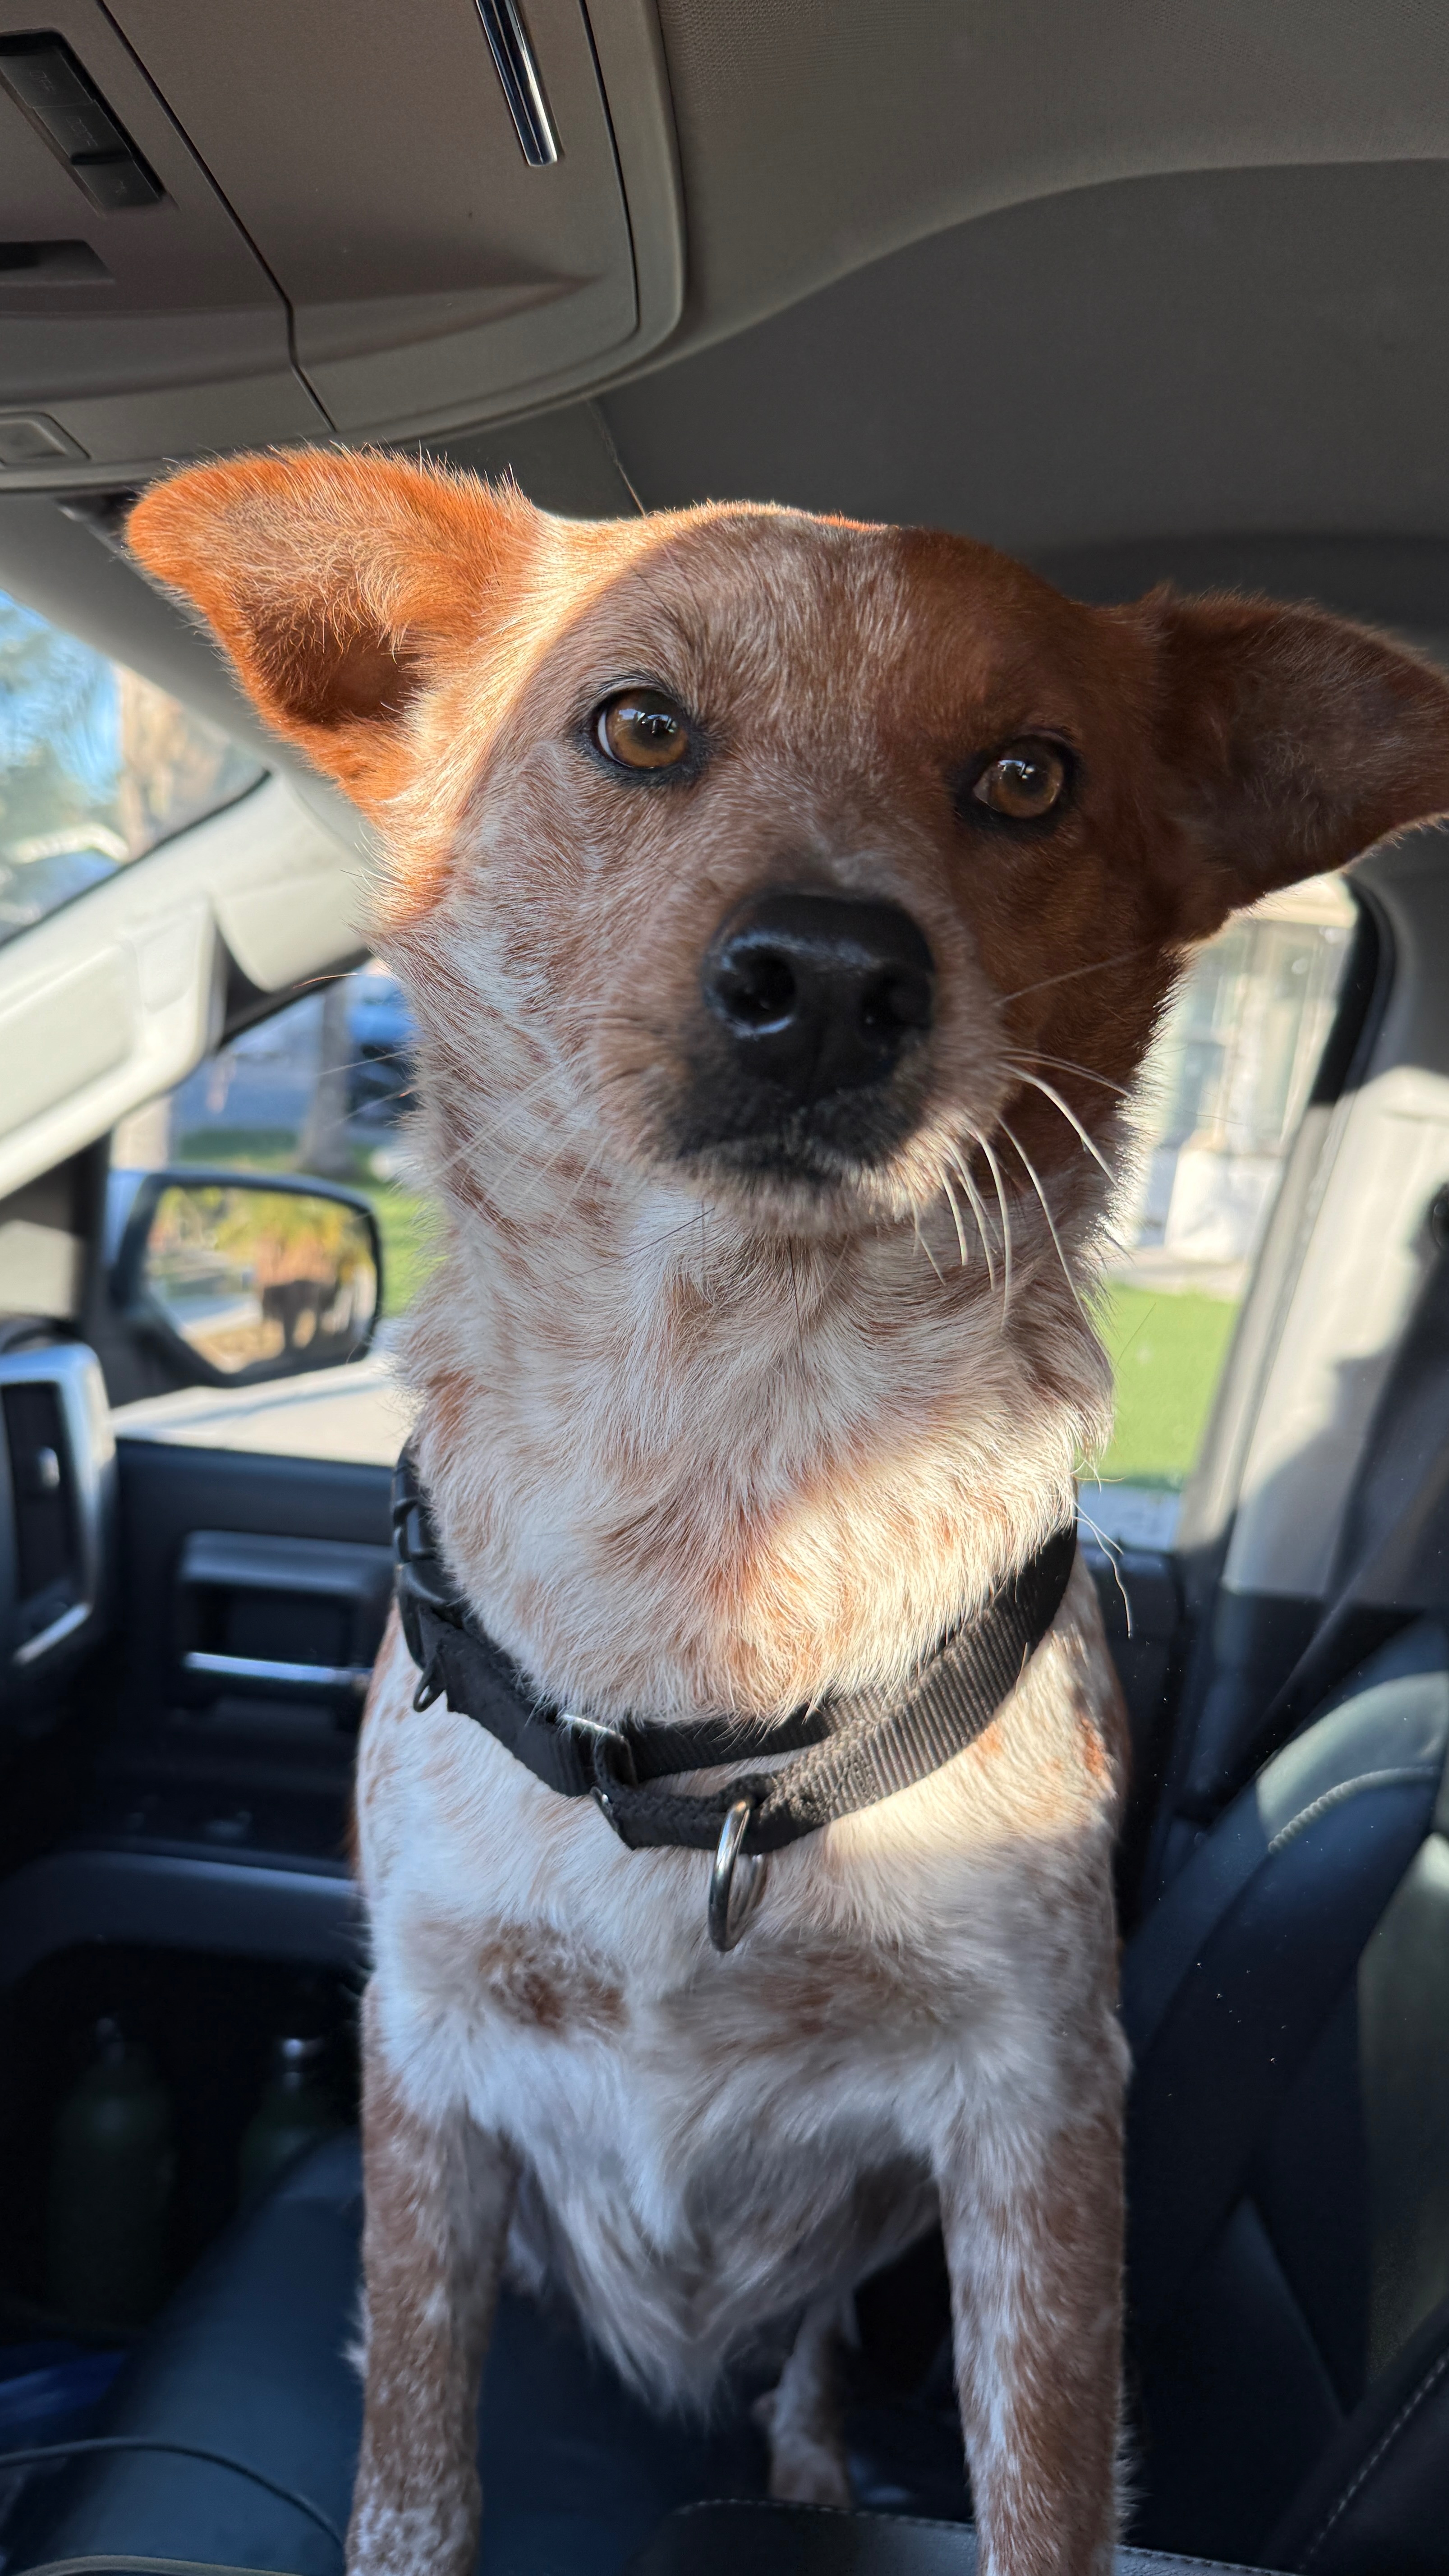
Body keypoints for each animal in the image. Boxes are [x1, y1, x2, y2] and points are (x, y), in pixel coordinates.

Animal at [129, 454, 1449, 2576]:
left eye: (1027, 776)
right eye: (638, 727)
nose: (830, 972)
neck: (725, 1466)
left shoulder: (1035, 2111)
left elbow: (1043, 2491)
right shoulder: (427, 2057)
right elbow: (413, 2458)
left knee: (815, 2360)